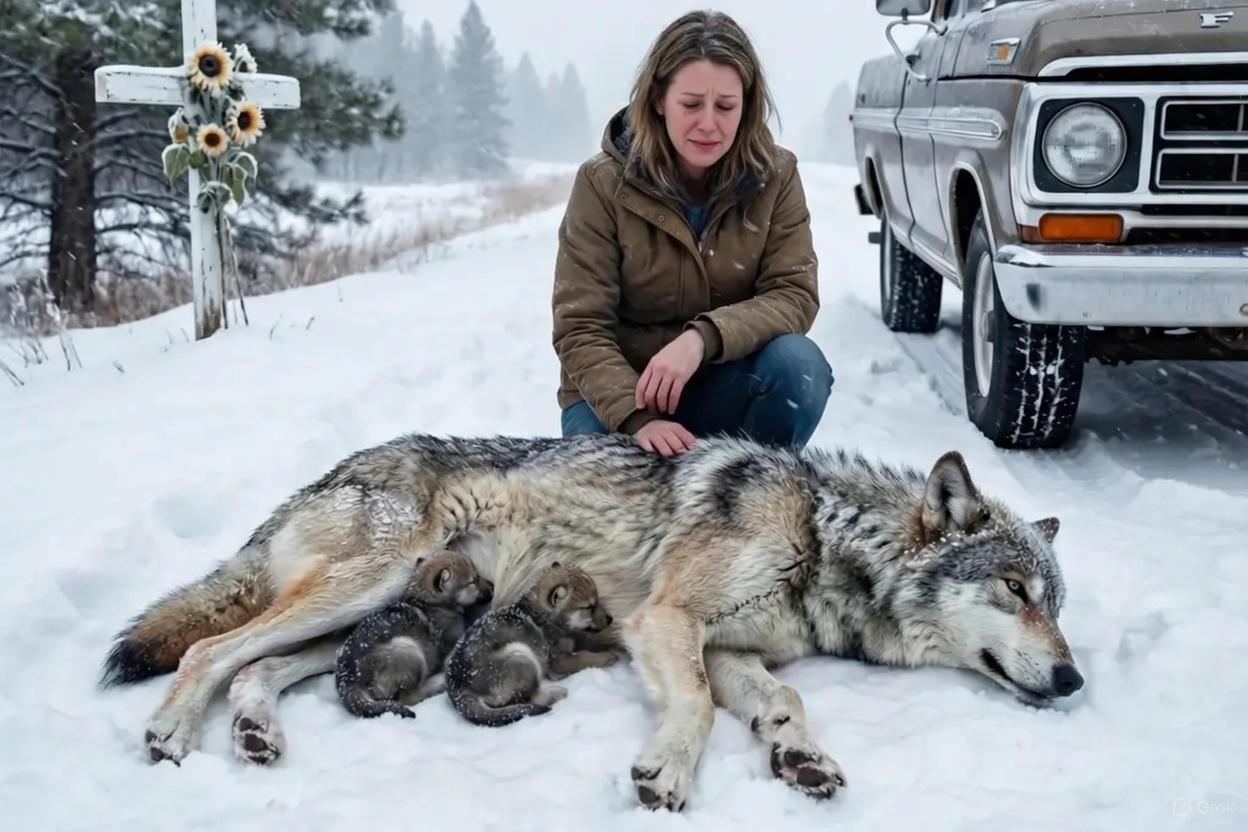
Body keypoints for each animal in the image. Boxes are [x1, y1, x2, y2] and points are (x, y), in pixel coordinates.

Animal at [100, 432, 1082, 811]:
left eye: (1057, 602)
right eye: (1015, 591)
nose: (1075, 679)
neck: (825, 533)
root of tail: (331, 472)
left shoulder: (730, 648)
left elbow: (786, 704)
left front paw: (800, 757)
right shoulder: (668, 622)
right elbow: (691, 709)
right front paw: (665, 776)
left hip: (387, 620)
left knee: (257, 669)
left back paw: (256, 736)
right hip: (367, 589)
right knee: (211, 647)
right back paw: (171, 732)